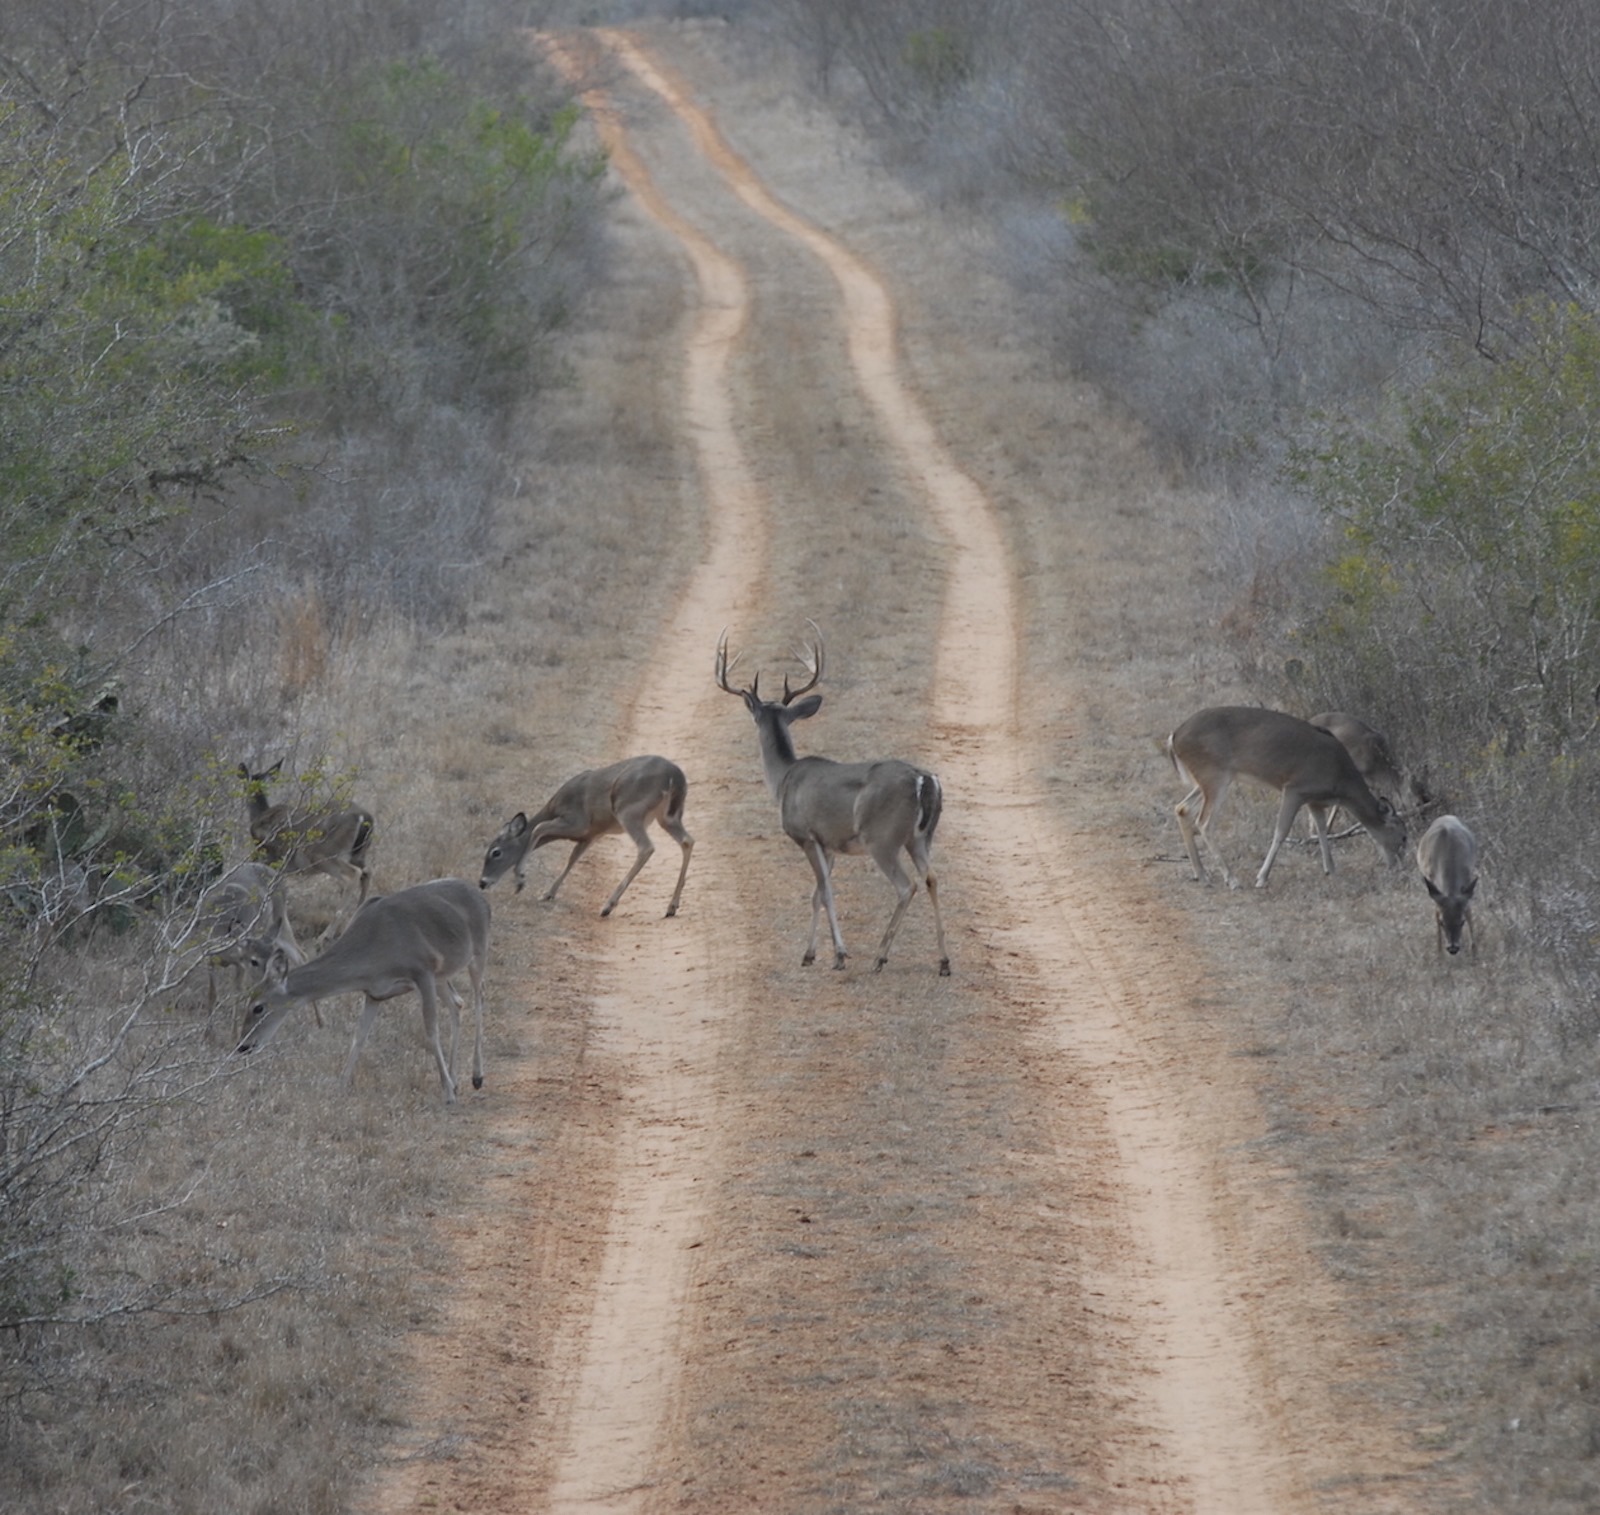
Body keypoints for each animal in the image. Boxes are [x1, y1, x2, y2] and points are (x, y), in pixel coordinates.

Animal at [236, 877, 489, 1105]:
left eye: (258, 1007)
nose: (243, 1046)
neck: (374, 950)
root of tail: (480, 896)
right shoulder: (374, 992)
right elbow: (359, 1036)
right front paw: (340, 1085)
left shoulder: (422, 970)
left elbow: (431, 1031)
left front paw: (448, 1093)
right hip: (442, 977)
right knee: (457, 1002)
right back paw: (456, 1079)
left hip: (477, 951)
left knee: (478, 1000)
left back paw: (476, 1076)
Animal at [479, 756, 693, 918]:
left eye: (495, 852)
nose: (482, 882)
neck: (554, 807)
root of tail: (674, 776)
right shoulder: (590, 834)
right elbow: (573, 858)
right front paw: (548, 893)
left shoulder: (577, 820)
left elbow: (539, 828)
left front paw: (520, 879)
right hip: (669, 816)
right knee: (687, 840)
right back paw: (672, 907)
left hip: (629, 809)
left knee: (646, 847)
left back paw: (608, 905)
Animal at [715, 628, 950, 976]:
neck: (784, 779)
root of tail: (924, 780)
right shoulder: (830, 843)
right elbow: (817, 894)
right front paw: (810, 954)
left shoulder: (805, 835)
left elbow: (824, 891)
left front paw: (838, 954)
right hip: (920, 838)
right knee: (932, 878)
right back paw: (944, 960)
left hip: (882, 837)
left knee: (907, 885)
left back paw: (880, 957)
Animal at [1166, 705, 1407, 889]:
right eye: (1404, 836)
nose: (1400, 866)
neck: (1341, 779)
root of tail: (1173, 737)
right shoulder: (1295, 788)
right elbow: (1281, 831)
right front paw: (1261, 878)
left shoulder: (1315, 801)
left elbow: (1321, 830)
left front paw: (1330, 869)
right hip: (1215, 774)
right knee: (1204, 823)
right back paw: (1231, 879)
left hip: (1208, 779)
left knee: (1182, 808)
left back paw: (1203, 875)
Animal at [1417, 814, 1478, 956]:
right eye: (1442, 923)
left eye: (1461, 922)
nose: (1453, 948)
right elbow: (1436, 912)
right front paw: (1439, 953)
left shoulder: (1468, 876)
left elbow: (1468, 910)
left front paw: (1474, 951)